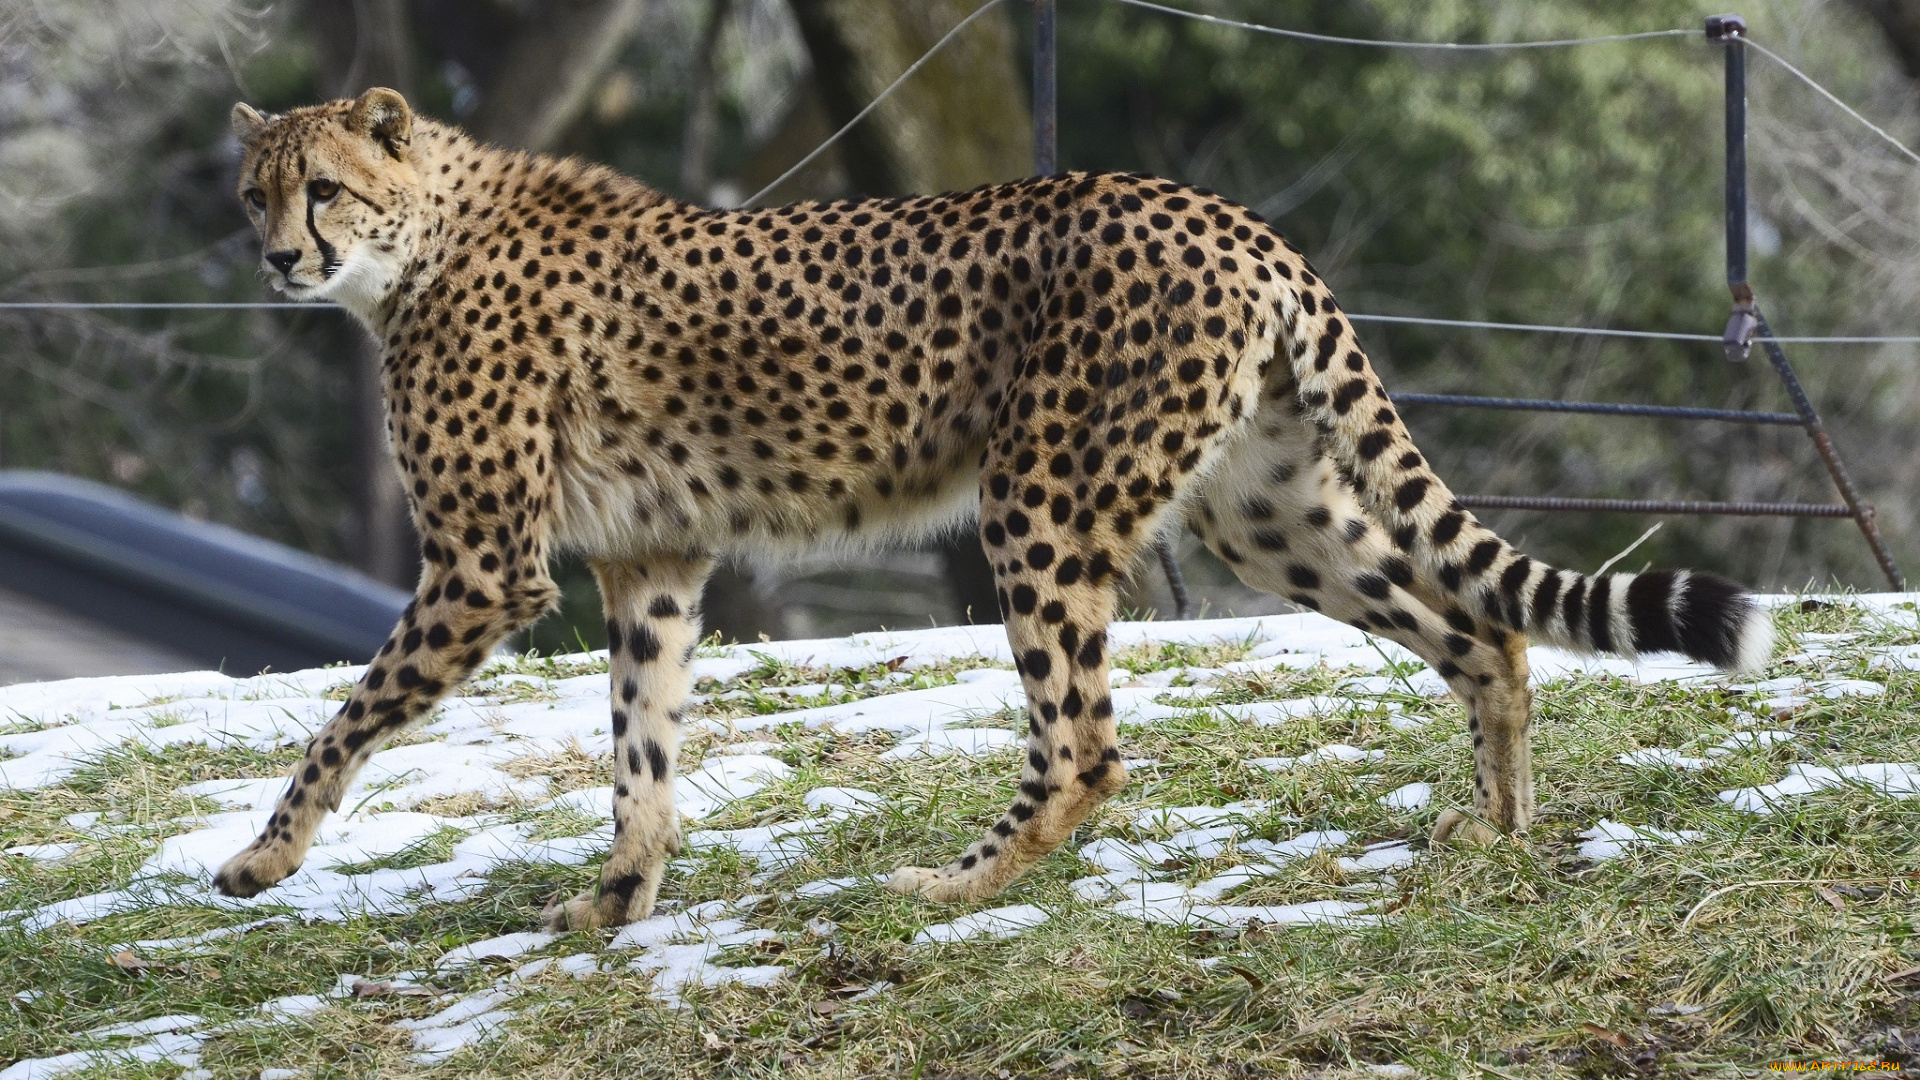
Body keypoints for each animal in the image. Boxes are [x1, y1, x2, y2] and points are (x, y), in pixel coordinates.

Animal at [210, 88, 1766, 926]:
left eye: (325, 189)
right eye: (252, 197)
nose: (278, 261)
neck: (419, 241)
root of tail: (1219, 211)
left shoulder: (484, 568)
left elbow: (342, 718)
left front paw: (260, 857)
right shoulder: (652, 560)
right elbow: (639, 748)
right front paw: (617, 901)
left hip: (1040, 496)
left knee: (1084, 744)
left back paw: (959, 886)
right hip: (1259, 513)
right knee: (1481, 634)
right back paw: (1498, 830)